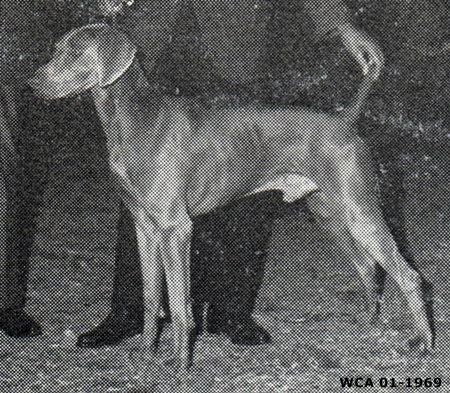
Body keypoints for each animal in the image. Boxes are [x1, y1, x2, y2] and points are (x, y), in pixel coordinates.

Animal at [27, 23, 432, 372]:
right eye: (56, 50)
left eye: (75, 53)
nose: (31, 84)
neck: (134, 121)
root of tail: (346, 120)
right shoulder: (145, 228)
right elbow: (152, 298)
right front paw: (145, 355)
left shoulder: (176, 229)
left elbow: (179, 305)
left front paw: (181, 365)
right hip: (330, 216)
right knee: (369, 268)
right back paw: (369, 325)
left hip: (359, 213)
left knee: (409, 276)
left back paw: (423, 344)